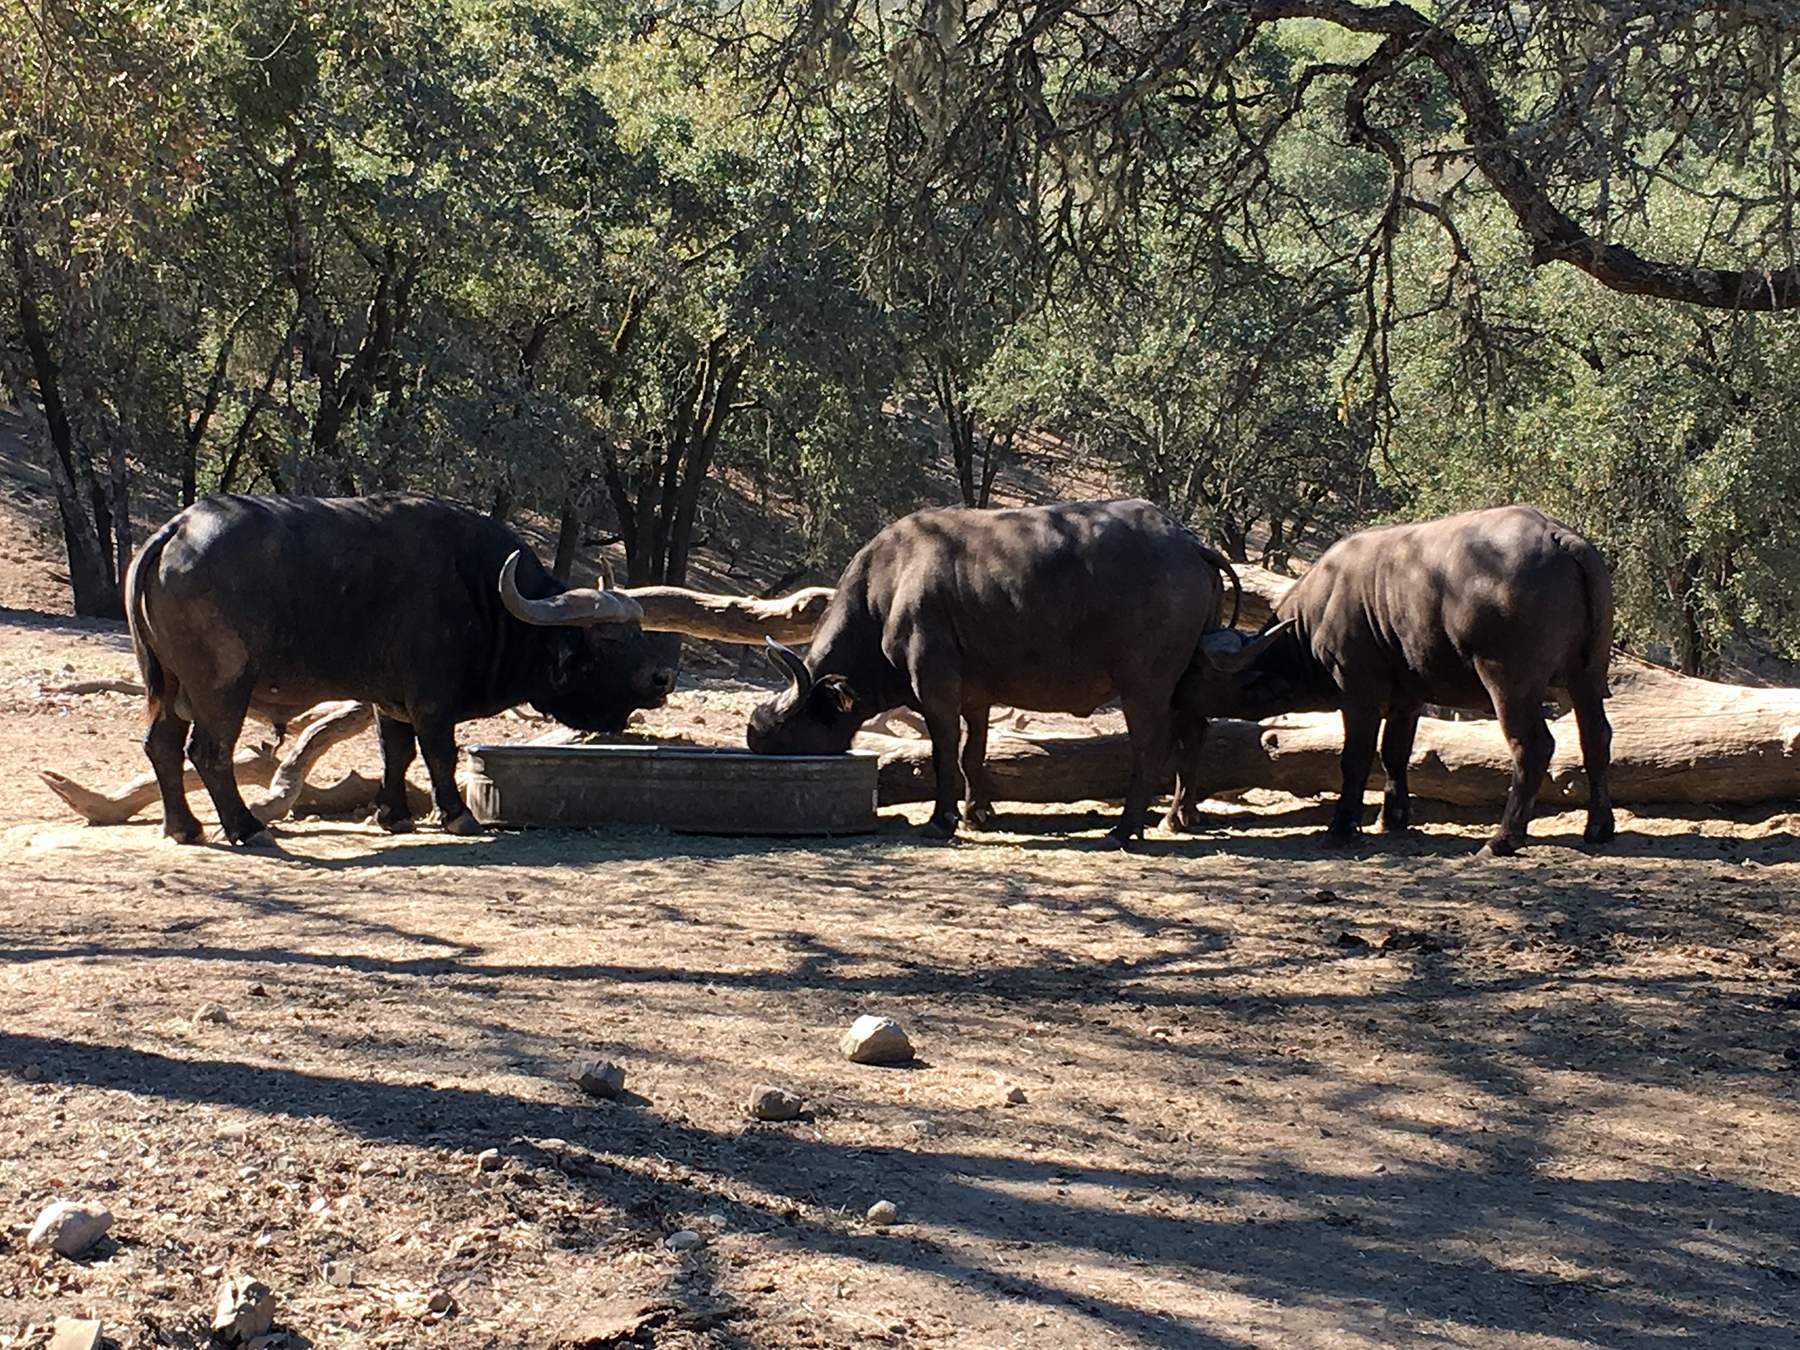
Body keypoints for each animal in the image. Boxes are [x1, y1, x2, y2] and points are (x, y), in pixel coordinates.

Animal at [126, 493, 676, 849]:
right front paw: (457, 815)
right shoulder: (432, 700)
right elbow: (438, 752)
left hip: (167, 687)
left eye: (637, 631)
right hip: (221, 688)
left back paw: (184, 827)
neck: (482, 594)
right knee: (209, 751)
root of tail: (176, 531)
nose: (662, 678)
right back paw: (245, 827)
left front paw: (392, 814)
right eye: (611, 639)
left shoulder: (390, 700)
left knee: (162, 746)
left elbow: (396, 751)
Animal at [741, 500, 1238, 835]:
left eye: (783, 738)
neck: (889, 586)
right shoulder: (975, 699)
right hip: (1185, 683)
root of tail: (1188, 542)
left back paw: (1126, 827)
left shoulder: (936, 688)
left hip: (1144, 686)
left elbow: (945, 751)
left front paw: (943, 818)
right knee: (1194, 735)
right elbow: (972, 753)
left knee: (1151, 745)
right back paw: (1179, 815)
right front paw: (977, 811)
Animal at [1180, 507, 1620, 856]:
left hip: (1509, 682)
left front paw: (1341, 826)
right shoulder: (1408, 700)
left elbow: (1355, 758)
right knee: (1597, 738)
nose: (1177, 696)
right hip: (1587, 676)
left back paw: (1503, 838)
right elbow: (1395, 752)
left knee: (1533, 746)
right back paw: (1599, 826)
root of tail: (1557, 535)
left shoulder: (1359, 697)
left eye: (1198, 671)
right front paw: (1392, 816)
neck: (1315, 617)